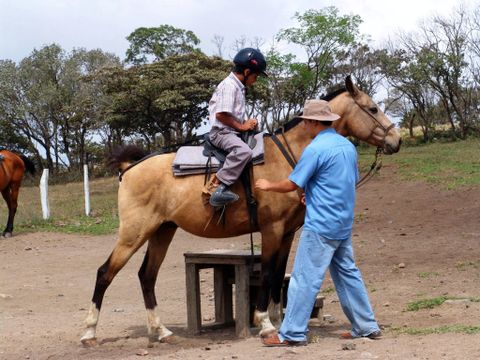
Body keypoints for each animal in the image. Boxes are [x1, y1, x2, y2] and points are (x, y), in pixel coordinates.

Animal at [79, 76, 402, 346]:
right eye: (373, 108)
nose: (396, 140)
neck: (287, 157)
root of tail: (130, 168)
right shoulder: (272, 229)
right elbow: (269, 274)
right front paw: (266, 324)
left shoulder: (287, 234)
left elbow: (278, 276)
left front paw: (278, 321)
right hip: (134, 233)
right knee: (105, 273)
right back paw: (89, 333)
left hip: (162, 231)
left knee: (147, 276)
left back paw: (161, 331)